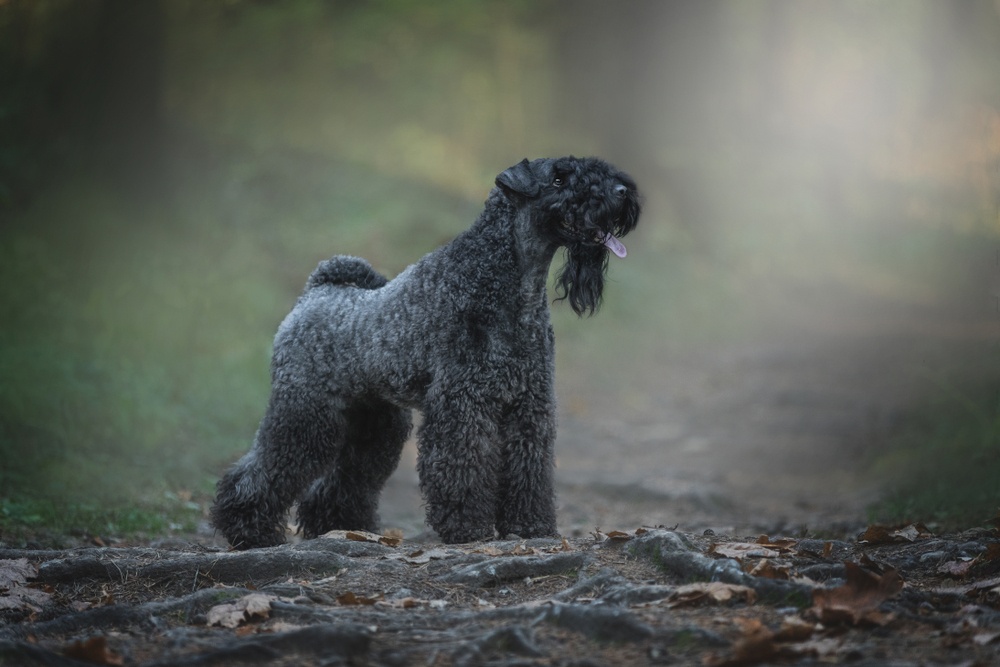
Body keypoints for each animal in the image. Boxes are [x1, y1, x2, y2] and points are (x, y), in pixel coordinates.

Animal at [211, 157, 640, 548]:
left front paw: (530, 525)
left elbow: (528, 467)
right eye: (559, 178)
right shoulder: (463, 401)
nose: (623, 192)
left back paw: (342, 526)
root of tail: (315, 292)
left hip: (375, 425)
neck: (506, 282)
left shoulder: (529, 403)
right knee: (262, 469)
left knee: (345, 479)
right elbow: (462, 464)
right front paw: (468, 528)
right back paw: (249, 530)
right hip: (303, 414)